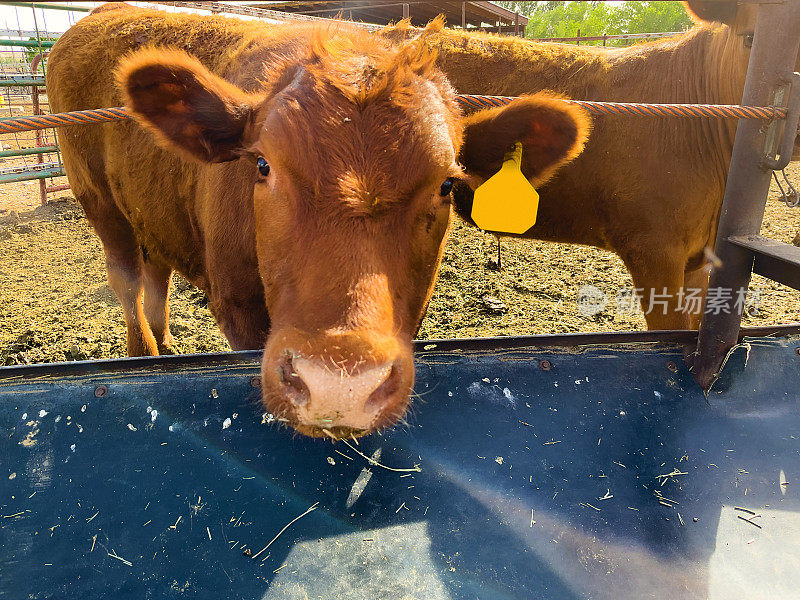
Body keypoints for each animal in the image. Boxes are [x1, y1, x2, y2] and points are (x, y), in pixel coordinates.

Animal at [47, 3, 592, 436]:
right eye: (262, 165)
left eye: (445, 185)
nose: (338, 386)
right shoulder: (236, 305)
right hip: (96, 198)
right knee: (126, 276)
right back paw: (143, 350)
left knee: (155, 269)